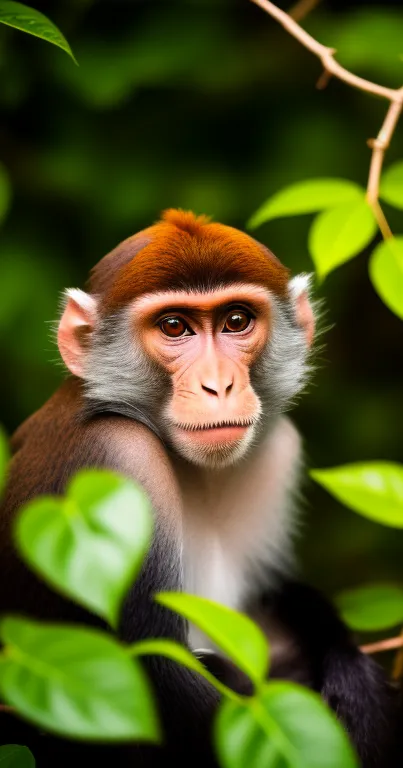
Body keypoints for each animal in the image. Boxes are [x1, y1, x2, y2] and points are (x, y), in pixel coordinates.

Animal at [0, 207, 400, 764]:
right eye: (174, 326)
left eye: (236, 320)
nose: (219, 385)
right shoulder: (117, 455)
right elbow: (156, 680)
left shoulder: (277, 449)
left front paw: (351, 670)